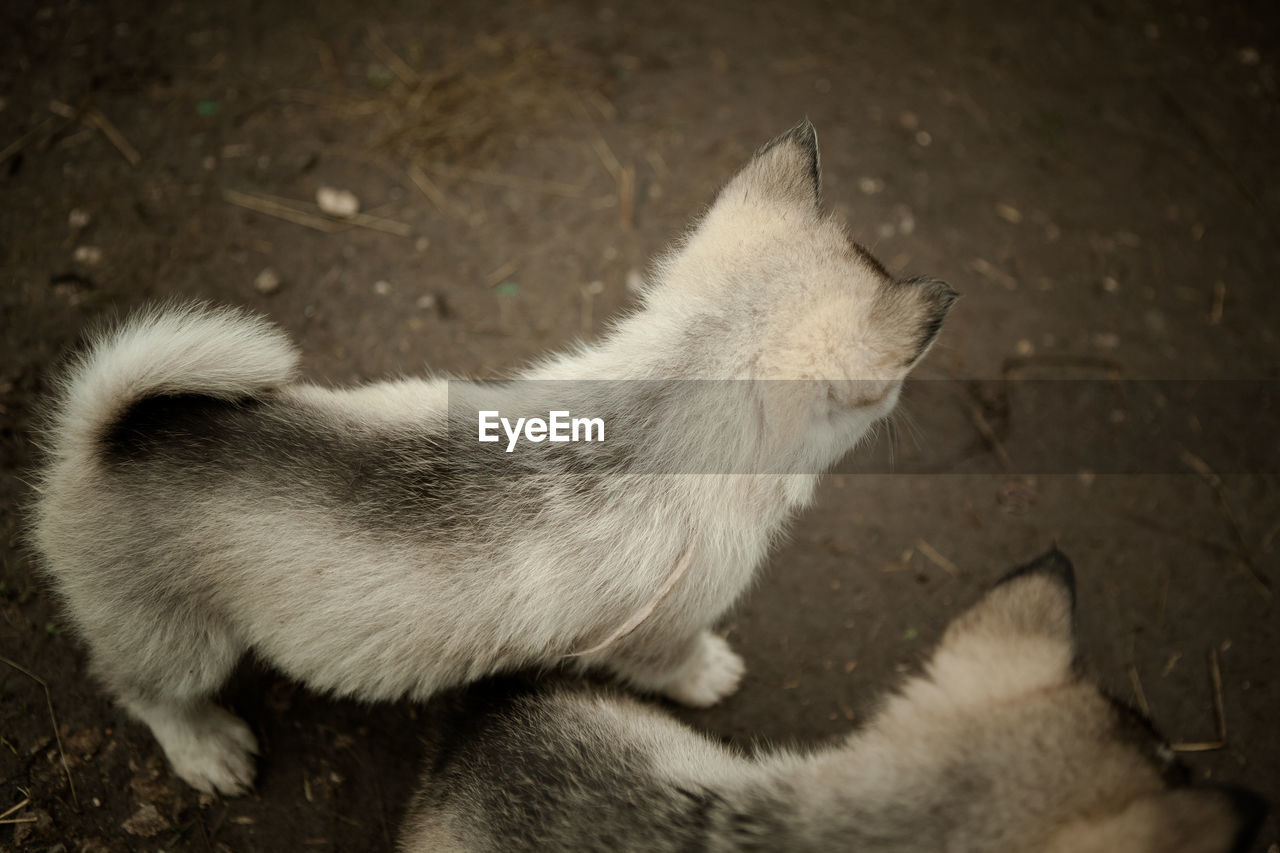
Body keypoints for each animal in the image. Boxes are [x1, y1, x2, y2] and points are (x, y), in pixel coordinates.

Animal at [30, 119, 957, 788]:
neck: (664, 396)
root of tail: (101, 438)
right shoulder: (660, 628)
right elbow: (678, 661)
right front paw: (708, 675)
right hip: (177, 639)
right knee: (147, 694)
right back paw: (205, 748)